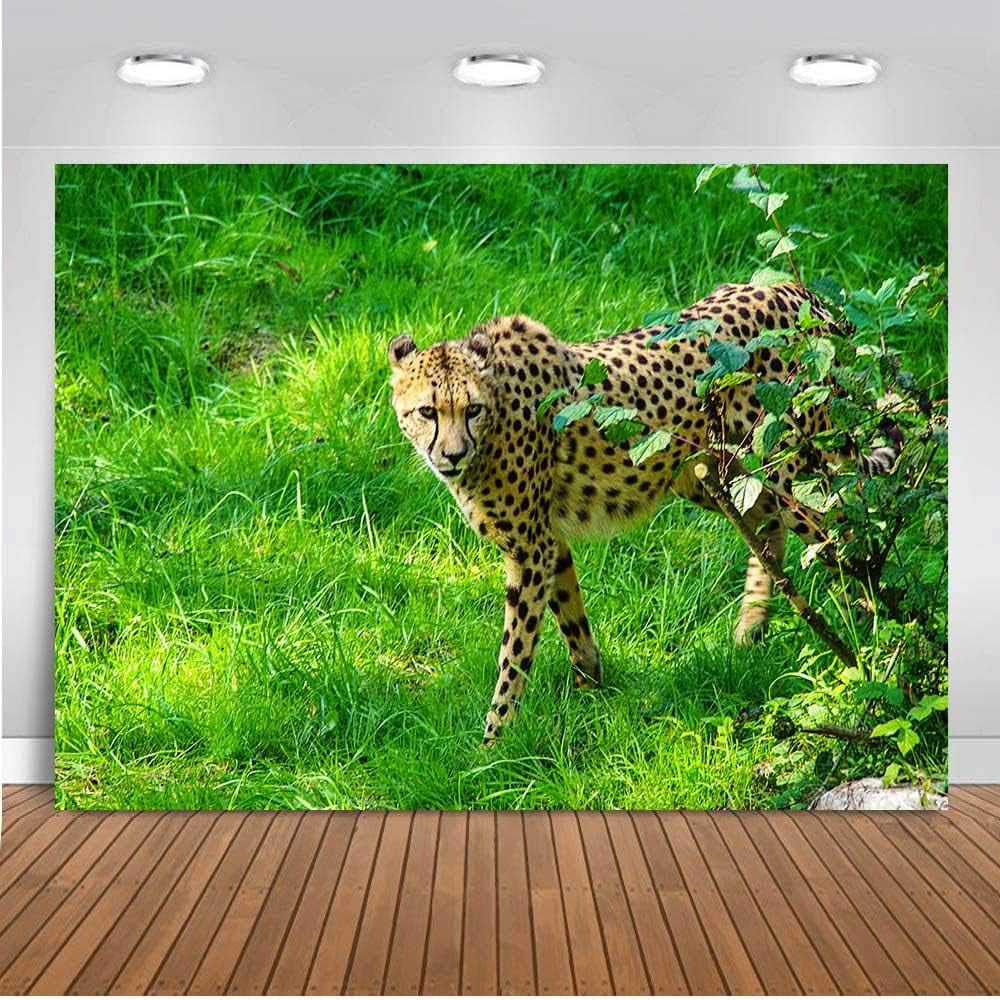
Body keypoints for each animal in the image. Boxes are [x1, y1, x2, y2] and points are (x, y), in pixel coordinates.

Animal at [388, 282, 894, 743]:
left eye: (471, 409)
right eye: (427, 411)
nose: (452, 455)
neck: (495, 414)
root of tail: (791, 289)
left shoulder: (530, 548)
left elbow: (515, 648)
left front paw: (495, 738)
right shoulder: (550, 542)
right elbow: (571, 617)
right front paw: (589, 690)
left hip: (788, 468)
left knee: (842, 526)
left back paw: (873, 638)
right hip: (718, 476)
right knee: (770, 526)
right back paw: (752, 629)